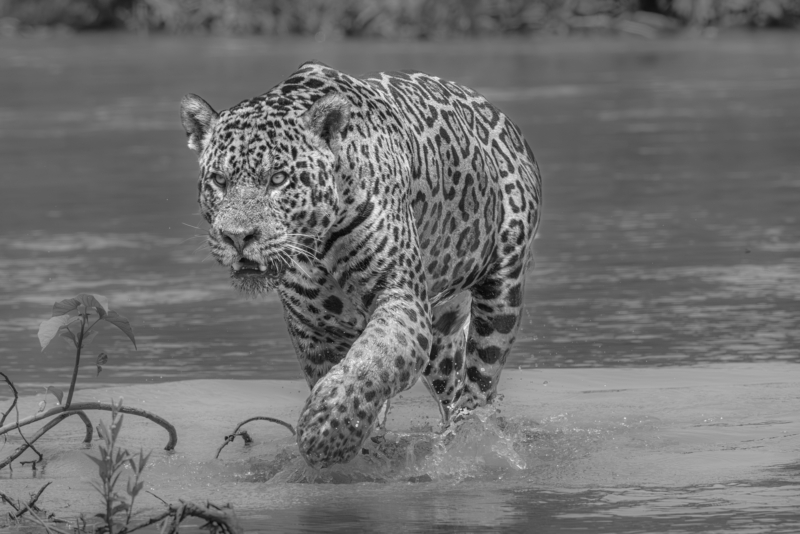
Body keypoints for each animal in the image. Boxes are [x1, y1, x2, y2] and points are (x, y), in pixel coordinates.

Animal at [180, 61, 542, 469]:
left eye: (278, 178)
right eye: (219, 181)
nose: (238, 237)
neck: (317, 243)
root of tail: (497, 113)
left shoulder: (400, 298)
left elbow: (371, 362)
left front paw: (324, 431)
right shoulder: (314, 326)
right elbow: (347, 371)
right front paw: (357, 449)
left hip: (501, 292)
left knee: (479, 386)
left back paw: (470, 443)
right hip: (442, 328)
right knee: (451, 383)